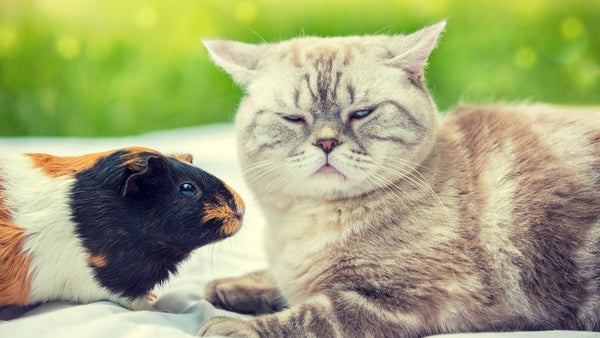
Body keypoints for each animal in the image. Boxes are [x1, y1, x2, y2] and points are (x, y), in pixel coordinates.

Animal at [198, 19, 600, 336]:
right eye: (293, 118)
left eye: (361, 113)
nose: (326, 142)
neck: (299, 227)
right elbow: (279, 283)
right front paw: (235, 286)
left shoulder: (415, 298)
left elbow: (312, 315)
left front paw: (234, 326)